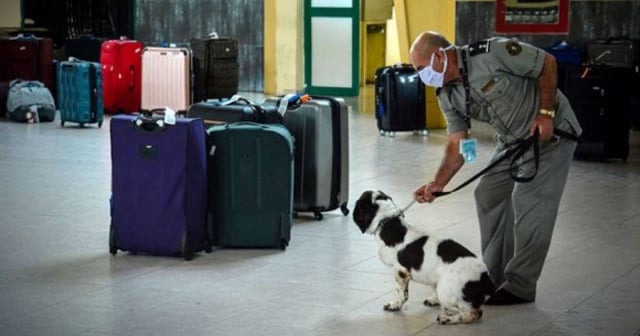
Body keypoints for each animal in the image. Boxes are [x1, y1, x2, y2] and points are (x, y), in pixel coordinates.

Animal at [356, 190, 496, 324]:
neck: (387, 224)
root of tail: (485, 278)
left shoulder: (400, 272)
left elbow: (401, 294)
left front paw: (395, 305)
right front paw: (434, 300)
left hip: (446, 291)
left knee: (472, 313)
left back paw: (447, 318)